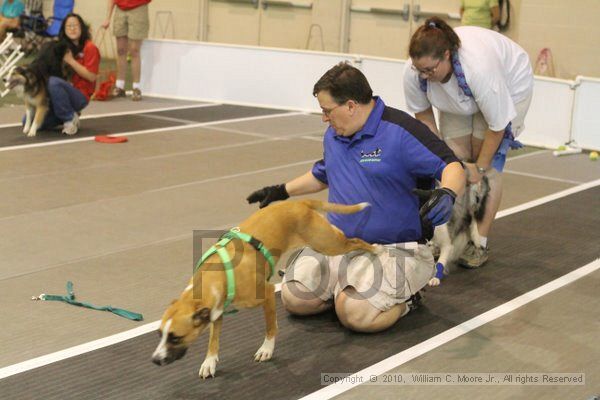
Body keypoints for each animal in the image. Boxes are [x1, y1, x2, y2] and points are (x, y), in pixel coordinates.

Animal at [152, 200, 382, 378]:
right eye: (160, 334)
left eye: (175, 337)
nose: (154, 360)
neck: (216, 275)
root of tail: (299, 203)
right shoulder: (216, 312)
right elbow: (213, 339)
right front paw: (209, 361)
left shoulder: (268, 294)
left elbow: (270, 327)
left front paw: (267, 349)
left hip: (327, 243)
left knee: (356, 241)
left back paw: (375, 249)